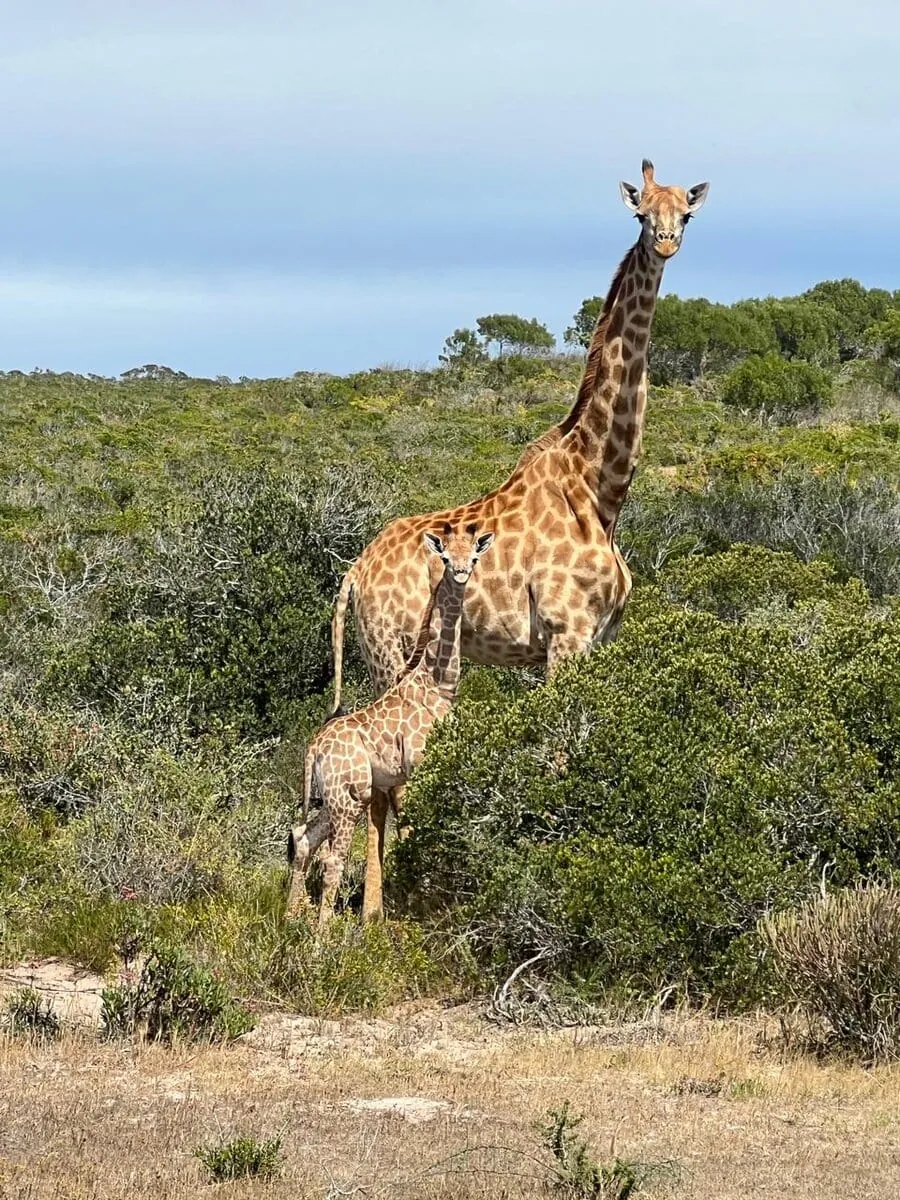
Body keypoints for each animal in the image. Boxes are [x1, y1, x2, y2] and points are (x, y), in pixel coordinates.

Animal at [285, 524, 495, 925]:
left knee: (303, 837)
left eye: (474, 556)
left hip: (337, 795)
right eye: (447, 557)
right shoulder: (418, 763)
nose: (462, 574)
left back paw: (290, 919)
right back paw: (323, 936)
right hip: (350, 797)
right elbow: (417, 828)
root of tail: (313, 749)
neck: (436, 683)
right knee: (332, 857)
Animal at [333, 159, 709, 918]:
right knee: (383, 779)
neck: (601, 489)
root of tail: (354, 571)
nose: (664, 242)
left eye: (686, 211)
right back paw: (381, 909)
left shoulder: (591, 642)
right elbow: (561, 752)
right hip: (389, 654)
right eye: (640, 213)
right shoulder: (566, 634)